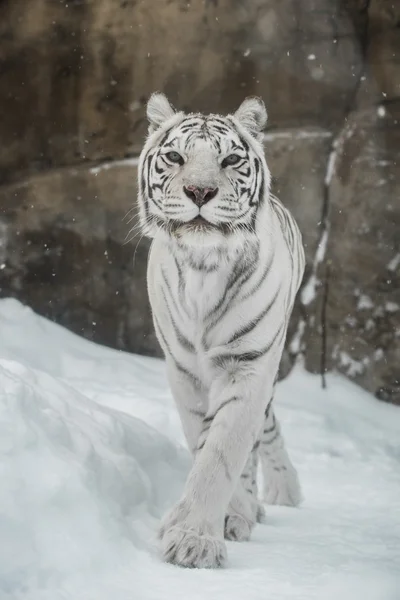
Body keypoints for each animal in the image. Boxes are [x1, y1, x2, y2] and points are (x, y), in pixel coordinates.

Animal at [136, 92, 304, 568]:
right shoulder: (184, 371)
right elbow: (203, 440)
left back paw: (283, 490)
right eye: (175, 157)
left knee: (265, 431)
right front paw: (220, 520)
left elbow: (222, 452)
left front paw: (194, 541)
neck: (203, 265)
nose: (200, 191)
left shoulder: (248, 365)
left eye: (230, 160)